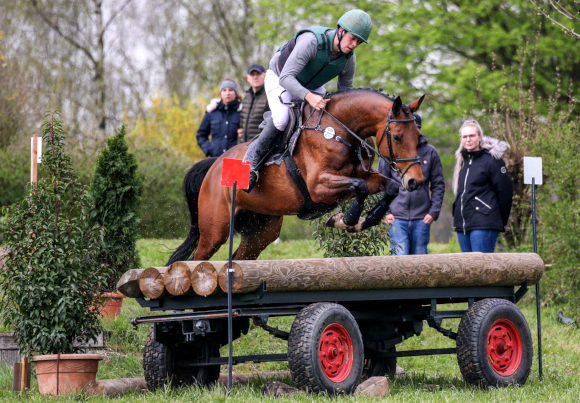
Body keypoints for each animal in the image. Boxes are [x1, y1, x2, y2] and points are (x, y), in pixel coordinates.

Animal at [167, 89, 424, 264]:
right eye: (398, 137)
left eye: (419, 136)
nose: (415, 181)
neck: (338, 131)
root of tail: (214, 165)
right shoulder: (319, 187)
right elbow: (360, 186)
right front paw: (347, 219)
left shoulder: (365, 178)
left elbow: (389, 187)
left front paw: (363, 221)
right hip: (215, 231)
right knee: (196, 260)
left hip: (261, 231)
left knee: (241, 258)